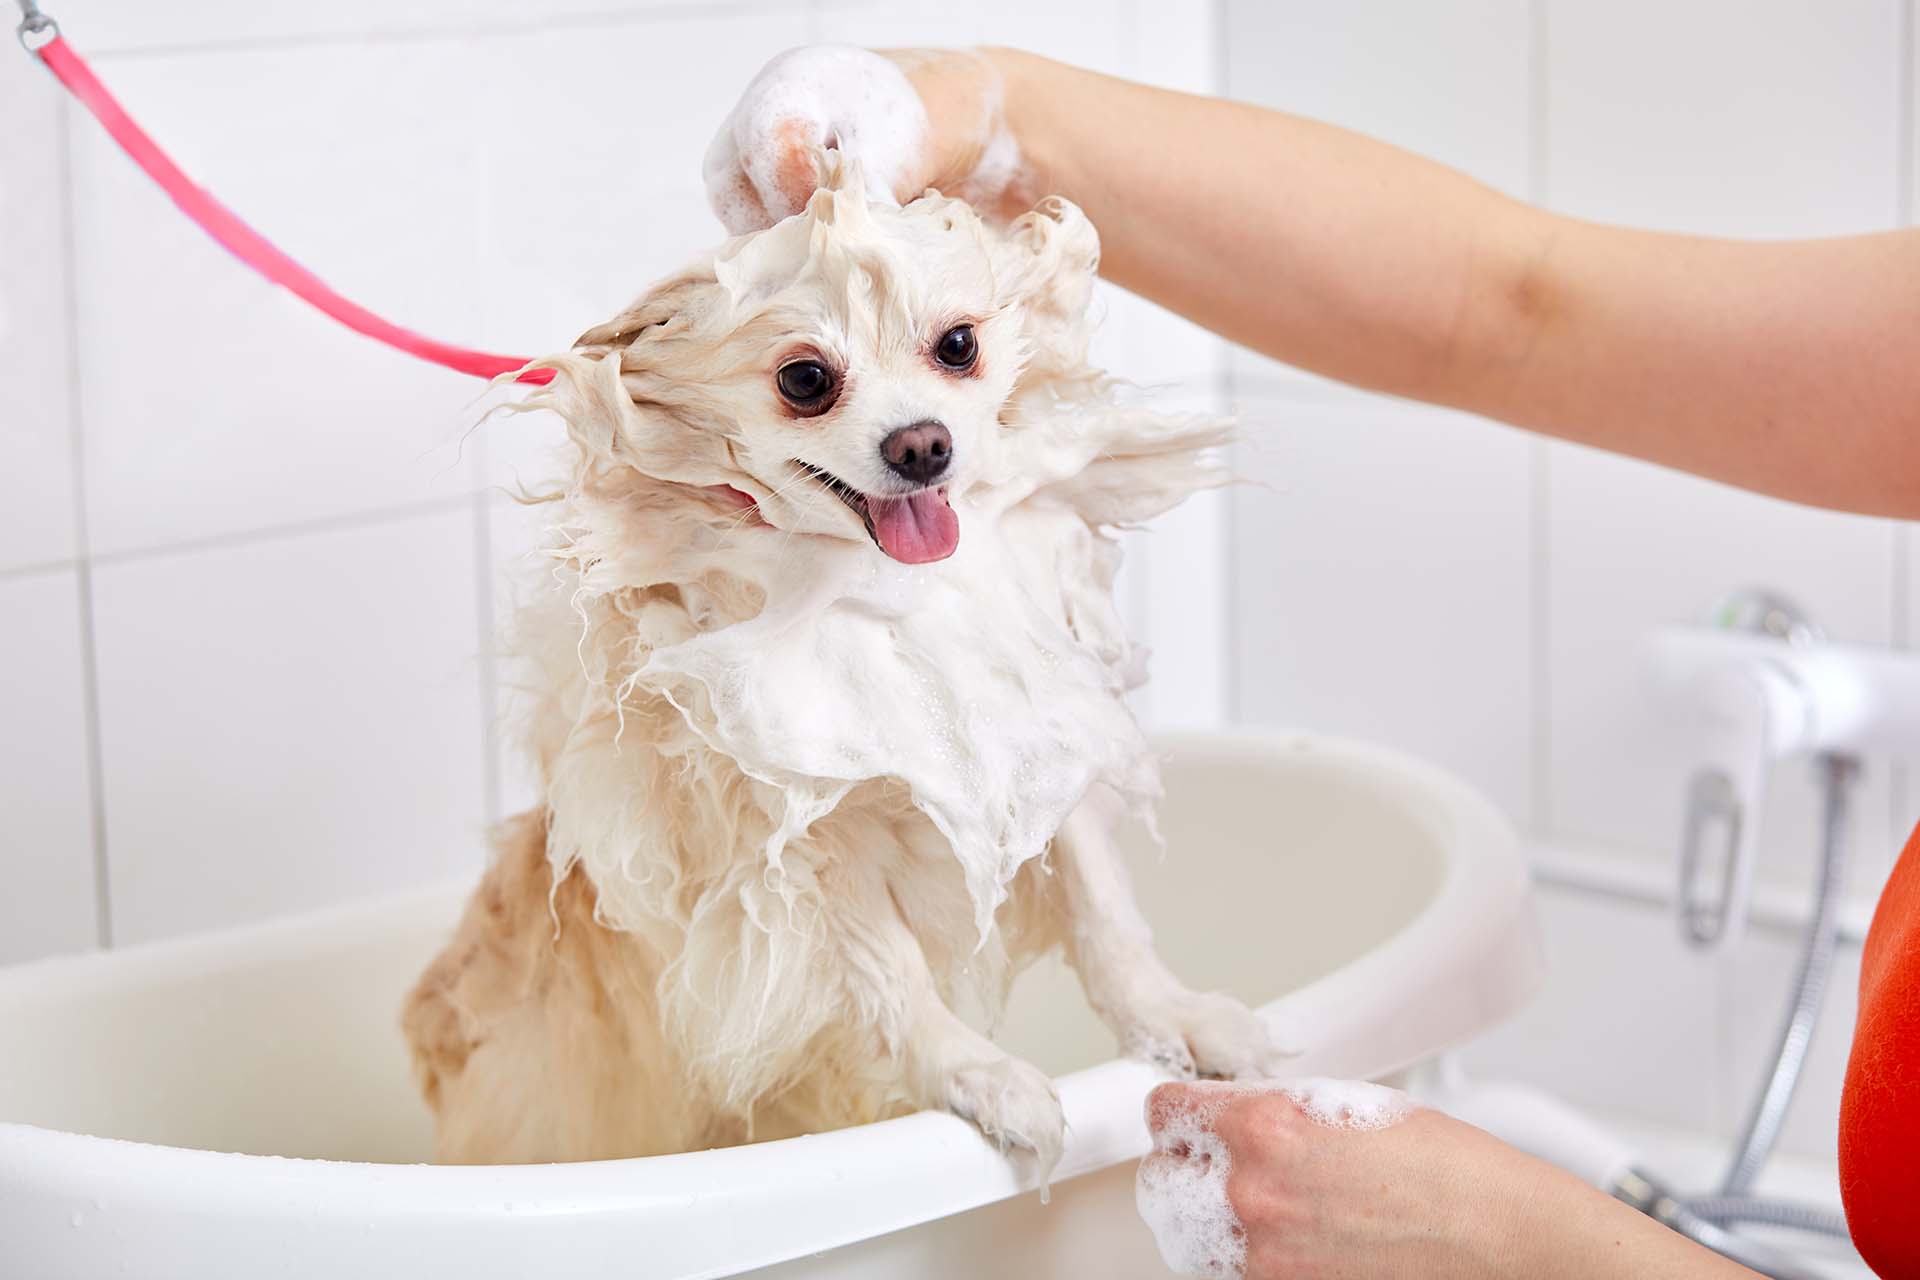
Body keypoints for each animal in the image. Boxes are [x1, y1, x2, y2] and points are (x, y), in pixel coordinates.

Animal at [397, 157, 1282, 1174]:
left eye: (958, 345)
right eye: (806, 380)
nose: (923, 443)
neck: (887, 592)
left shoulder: (1032, 750)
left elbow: (1107, 918)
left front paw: (1178, 1018)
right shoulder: (802, 831)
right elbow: (887, 972)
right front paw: (978, 1076)